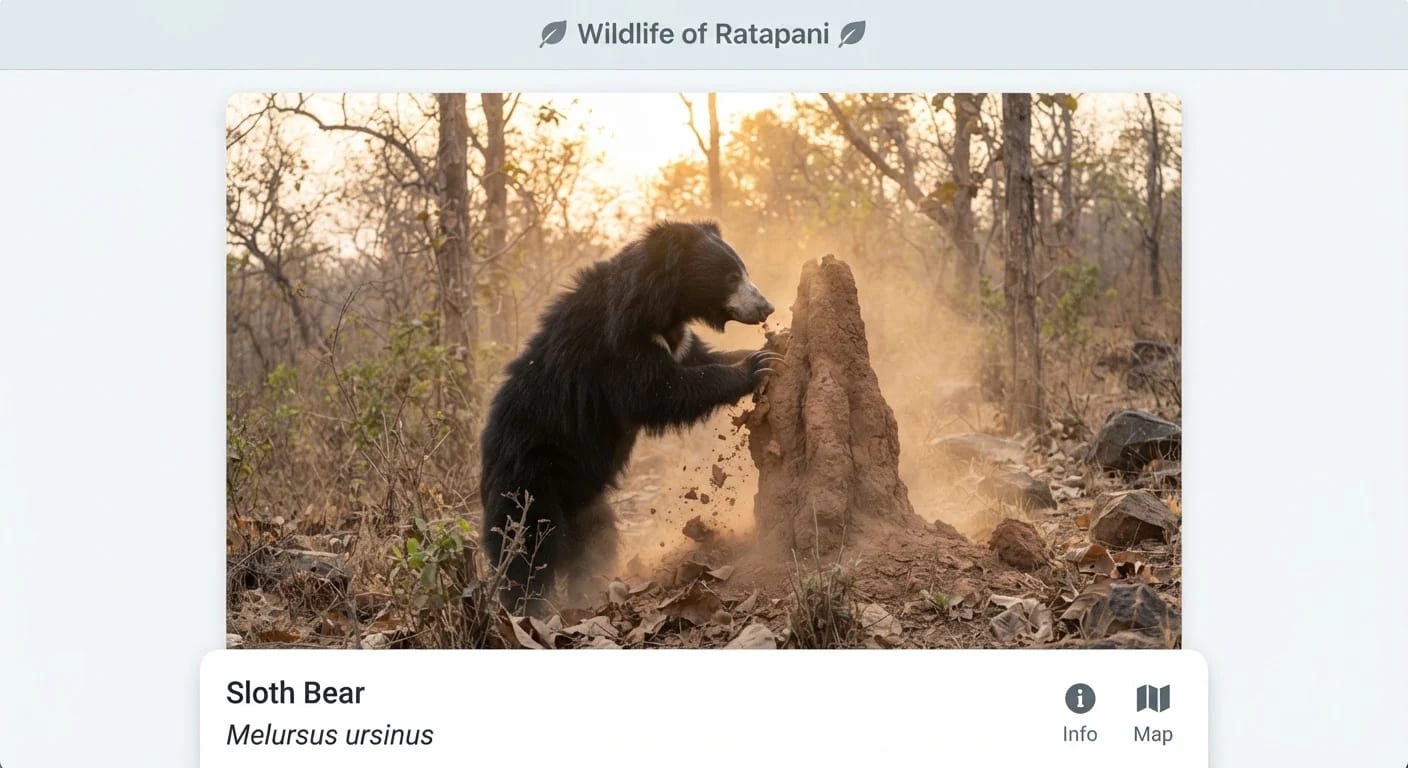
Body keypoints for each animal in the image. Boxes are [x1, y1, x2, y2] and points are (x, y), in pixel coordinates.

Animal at [479, 220, 779, 614]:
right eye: (731, 277)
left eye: (743, 271)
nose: (766, 307)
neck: (661, 309)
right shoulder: (617, 349)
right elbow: (660, 390)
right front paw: (756, 367)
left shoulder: (676, 339)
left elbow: (699, 360)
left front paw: (764, 350)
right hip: (530, 481)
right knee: (526, 547)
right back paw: (528, 609)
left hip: (587, 501)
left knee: (595, 541)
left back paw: (589, 589)